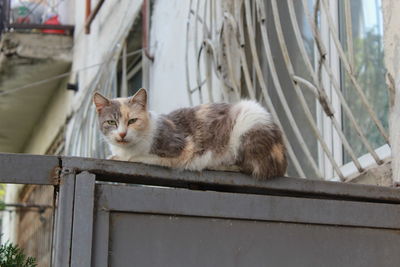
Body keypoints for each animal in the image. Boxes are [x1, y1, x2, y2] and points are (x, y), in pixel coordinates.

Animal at [94, 89, 288, 179]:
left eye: (132, 121)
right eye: (111, 122)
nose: (122, 134)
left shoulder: (180, 149)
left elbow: (137, 157)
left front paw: (119, 158)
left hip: (249, 120)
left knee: (251, 166)